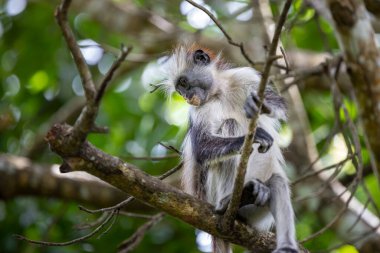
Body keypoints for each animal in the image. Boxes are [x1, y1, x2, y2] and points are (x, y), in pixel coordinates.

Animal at [160, 45, 296, 253]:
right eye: (179, 89)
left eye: (183, 83)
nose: (184, 96)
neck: (218, 92)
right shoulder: (198, 110)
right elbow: (202, 148)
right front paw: (253, 136)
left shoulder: (244, 76)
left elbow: (279, 105)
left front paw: (263, 105)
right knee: (230, 123)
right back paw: (227, 201)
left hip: (257, 211)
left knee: (277, 183)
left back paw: (286, 246)